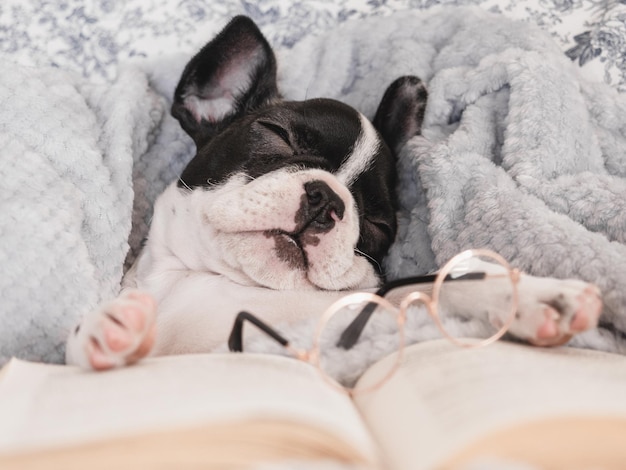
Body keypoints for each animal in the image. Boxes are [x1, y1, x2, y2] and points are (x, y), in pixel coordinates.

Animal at [66, 15, 604, 370]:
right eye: (277, 134)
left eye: (379, 226)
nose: (328, 200)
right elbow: (75, 346)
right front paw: (107, 328)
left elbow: (427, 284)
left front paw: (530, 295)